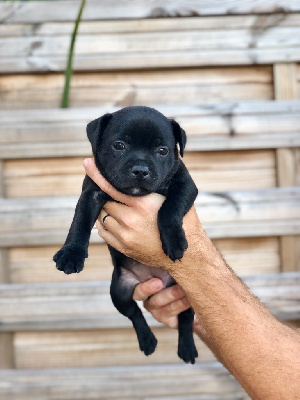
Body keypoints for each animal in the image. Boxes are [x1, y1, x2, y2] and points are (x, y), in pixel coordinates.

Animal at [54, 105, 199, 362]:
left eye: (162, 151)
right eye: (119, 145)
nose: (140, 170)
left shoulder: (184, 184)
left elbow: (169, 208)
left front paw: (173, 240)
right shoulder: (90, 193)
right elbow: (79, 222)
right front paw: (71, 254)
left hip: (186, 292)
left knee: (186, 316)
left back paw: (187, 347)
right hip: (119, 291)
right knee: (134, 313)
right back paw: (148, 340)